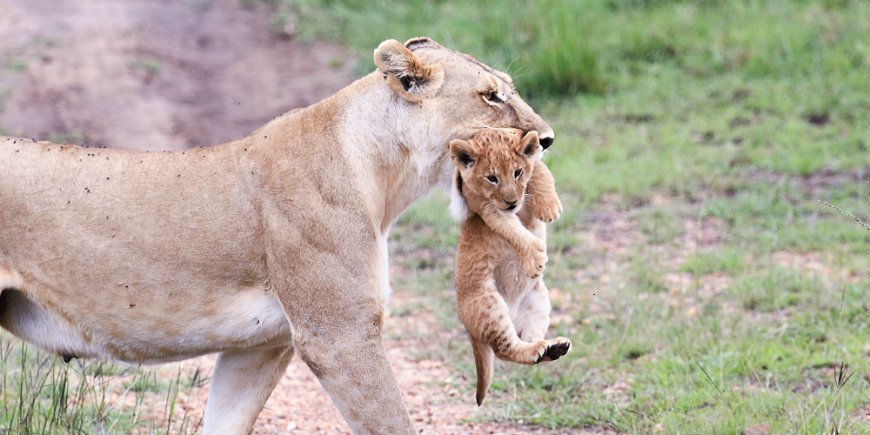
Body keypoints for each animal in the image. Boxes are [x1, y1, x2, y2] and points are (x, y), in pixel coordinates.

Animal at [0, 37, 553, 434]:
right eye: (491, 95)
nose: (546, 139)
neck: (385, 175)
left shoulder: (259, 347)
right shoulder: (339, 335)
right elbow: (392, 420)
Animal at [449, 128, 570, 406]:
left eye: (517, 172)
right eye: (492, 178)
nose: (512, 201)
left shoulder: (532, 166)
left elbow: (541, 171)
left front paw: (549, 206)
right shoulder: (487, 208)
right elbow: (512, 229)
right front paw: (535, 257)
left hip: (538, 300)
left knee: (528, 336)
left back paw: (551, 347)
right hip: (488, 303)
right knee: (505, 349)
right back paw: (540, 349)